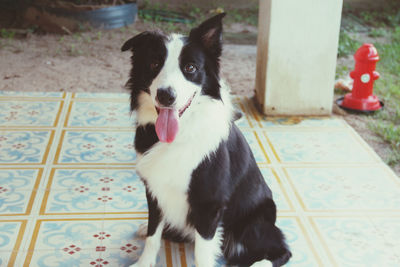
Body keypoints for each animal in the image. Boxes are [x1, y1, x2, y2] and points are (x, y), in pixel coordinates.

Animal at [121, 13, 290, 267]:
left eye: (190, 68)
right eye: (154, 64)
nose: (166, 95)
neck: (181, 132)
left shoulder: (209, 205)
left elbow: (202, 253)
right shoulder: (154, 188)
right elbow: (153, 234)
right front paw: (144, 262)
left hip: (253, 225)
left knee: (281, 251)